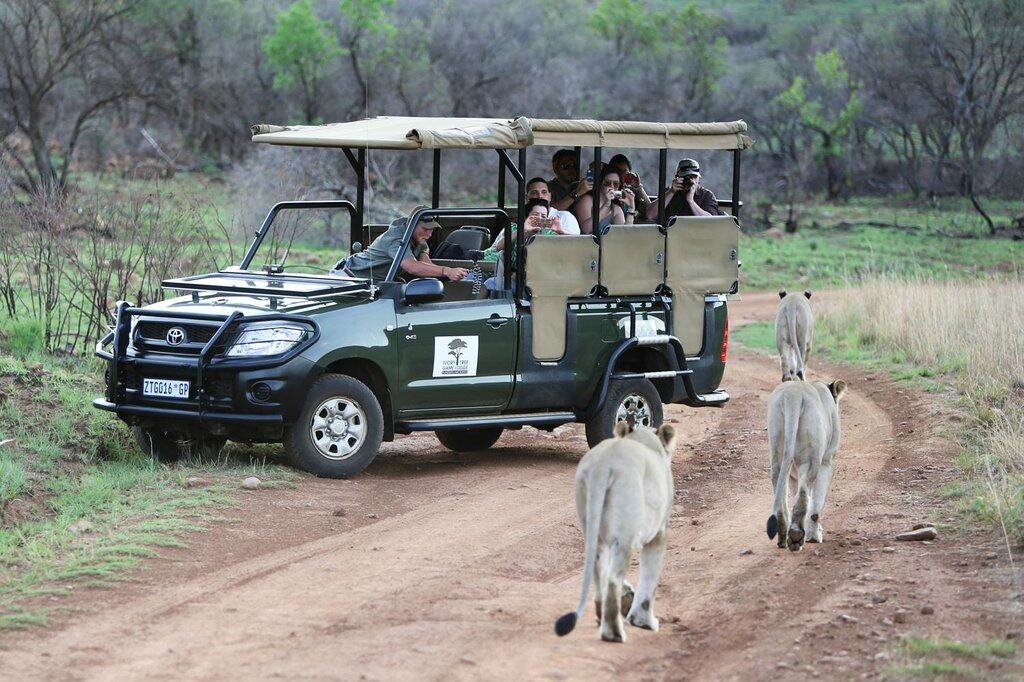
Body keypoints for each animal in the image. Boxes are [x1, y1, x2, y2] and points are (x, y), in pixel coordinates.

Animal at [554, 421, 677, 642]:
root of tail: (604, 464)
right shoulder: (659, 533)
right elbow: (650, 576)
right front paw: (644, 622)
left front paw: (629, 597)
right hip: (626, 530)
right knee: (612, 579)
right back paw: (614, 633)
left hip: (592, 524)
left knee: (599, 570)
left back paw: (600, 616)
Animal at [765, 379, 847, 551]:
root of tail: (793, 395)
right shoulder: (827, 460)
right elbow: (816, 502)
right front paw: (814, 536)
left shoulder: (793, 475)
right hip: (811, 458)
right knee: (803, 495)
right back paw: (796, 537)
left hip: (777, 450)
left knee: (780, 488)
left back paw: (783, 537)